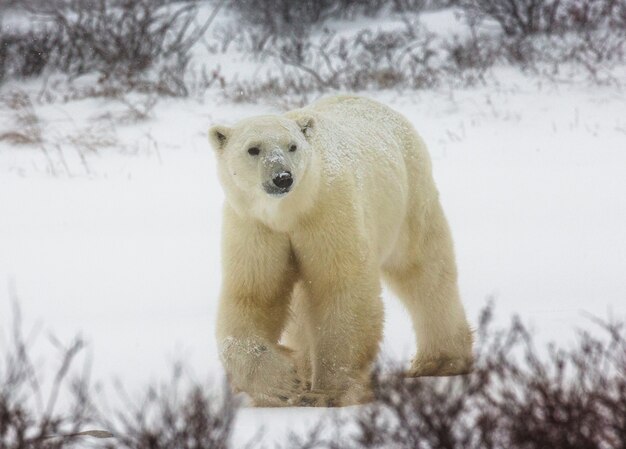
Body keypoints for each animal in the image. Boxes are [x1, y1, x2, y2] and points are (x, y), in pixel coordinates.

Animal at [207, 94, 470, 406]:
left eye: (292, 146)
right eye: (253, 149)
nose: (282, 177)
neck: (289, 214)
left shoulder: (328, 211)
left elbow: (341, 290)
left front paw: (328, 392)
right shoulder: (255, 226)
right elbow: (253, 296)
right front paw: (283, 383)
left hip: (408, 198)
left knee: (424, 270)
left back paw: (440, 361)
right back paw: (304, 367)